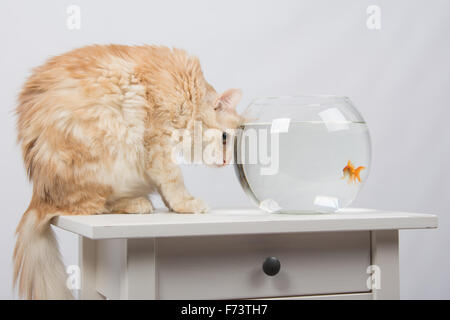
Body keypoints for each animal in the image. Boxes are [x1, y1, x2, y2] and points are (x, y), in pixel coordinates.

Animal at [14, 43, 244, 298]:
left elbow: (165, 184)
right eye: (225, 138)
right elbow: (173, 178)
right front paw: (186, 204)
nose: (225, 162)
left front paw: (173, 205)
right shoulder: (157, 139)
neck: (187, 91)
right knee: (95, 206)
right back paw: (137, 204)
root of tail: (39, 196)